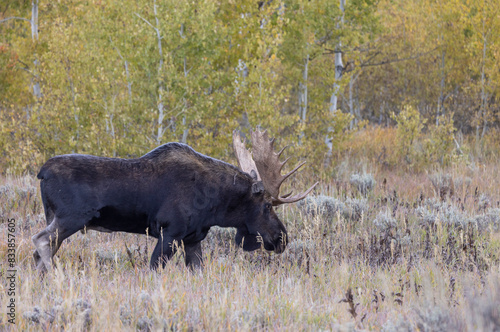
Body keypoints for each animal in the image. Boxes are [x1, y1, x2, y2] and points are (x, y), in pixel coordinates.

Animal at [32, 128, 316, 272]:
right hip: (70, 218)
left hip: (55, 218)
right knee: (40, 241)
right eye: (267, 206)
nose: (282, 238)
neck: (216, 205)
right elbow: (154, 269)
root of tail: (42, 172)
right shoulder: (169, 233)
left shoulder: (193, 238)